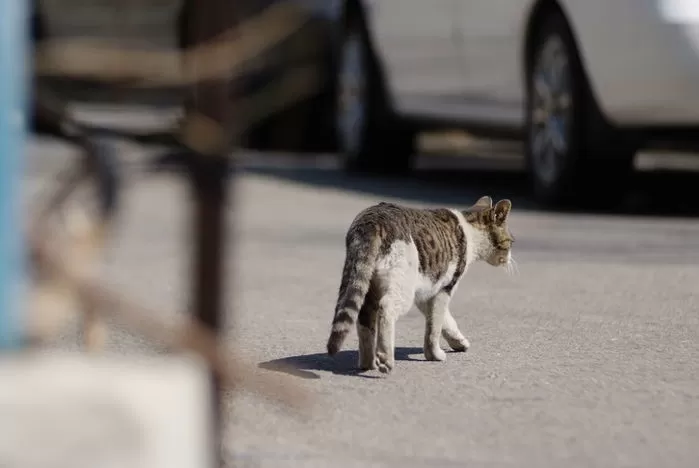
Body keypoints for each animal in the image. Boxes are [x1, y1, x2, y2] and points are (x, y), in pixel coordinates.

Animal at [326, 196, 516, 374]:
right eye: (511, 242)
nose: (510, 259)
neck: (470, 231)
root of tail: (371, 221)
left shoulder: (427, 292)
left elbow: (446, 321)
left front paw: (458, 342)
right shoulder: (444, 289)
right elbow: (435, 327)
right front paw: (434, 355)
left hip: (368, 283)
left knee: (364, 318)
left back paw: (367, 363)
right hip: (402, 286)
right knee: (386, 309)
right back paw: (385, 358)